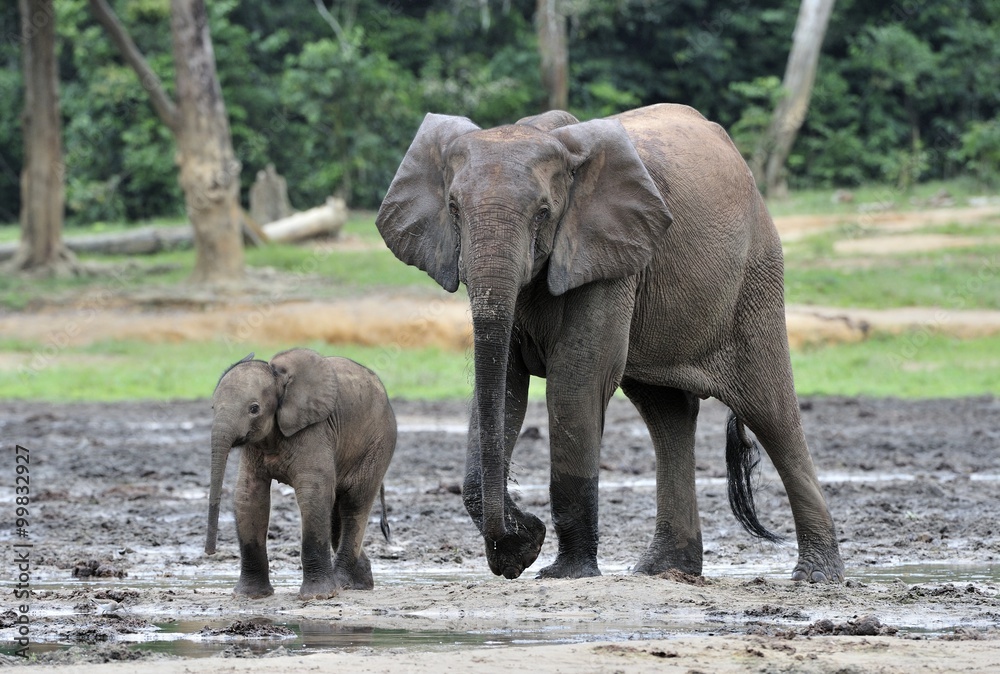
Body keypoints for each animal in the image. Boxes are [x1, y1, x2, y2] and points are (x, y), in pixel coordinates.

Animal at [205, 348, 396, 599]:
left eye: (254, 409)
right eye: (213, 408)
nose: (210, 553)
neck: (279, 377)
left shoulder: (315, 430)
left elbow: (313, 495)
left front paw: (318, 596)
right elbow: (249, 497)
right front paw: (249, 596)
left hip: (378, 444)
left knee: (353, 506)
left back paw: (342, 583)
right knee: (336, 516)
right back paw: (359, 583)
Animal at [376, 103, 844, 583]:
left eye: (543, 212)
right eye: (452, 209)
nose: (518, 535)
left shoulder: (605, 254)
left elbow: (574, 382)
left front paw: (562, 572)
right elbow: (505, 384)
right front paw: (523, 550)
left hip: (755, 278)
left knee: (770, 412)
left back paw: (816, 576)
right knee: (667, 414)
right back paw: (662, 570)